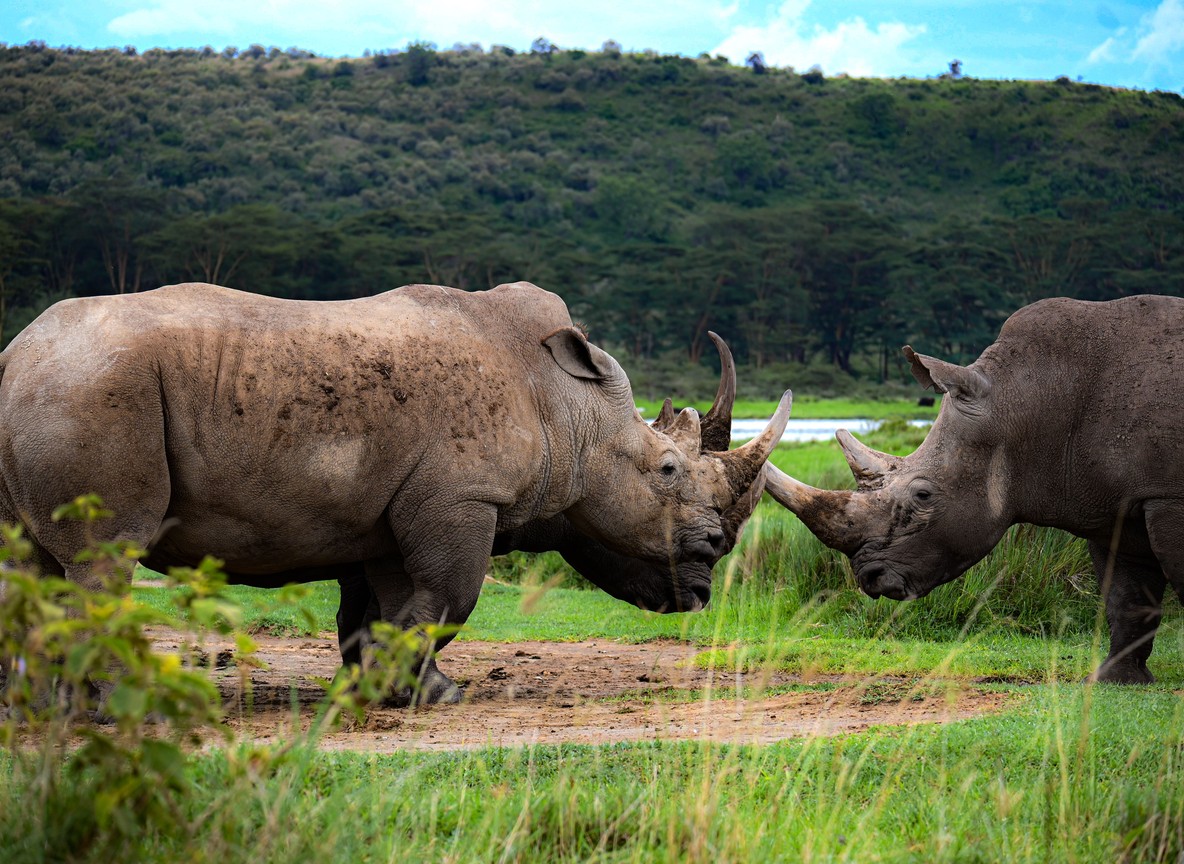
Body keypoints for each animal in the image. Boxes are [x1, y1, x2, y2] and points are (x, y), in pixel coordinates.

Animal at [0, 281, 789, 702]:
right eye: (668, 471)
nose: (712, 553)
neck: (568, 406)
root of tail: (18, 353)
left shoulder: (381, 512)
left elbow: (382, 604)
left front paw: (381, 687)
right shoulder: (463, 498)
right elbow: (450, 596)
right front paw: (425, 692)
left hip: (58, 386)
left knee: (30, 563)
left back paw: (40, 708)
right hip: (95, 387)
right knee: (104, 558)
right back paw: (115, 705)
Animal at [764, 294, 1184, 684]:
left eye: (923, 496)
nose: (870, 578)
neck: (1031, 399)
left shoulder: (1167, 496)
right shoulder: (1111, 503)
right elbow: (1125, 595)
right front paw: (1117, 680)